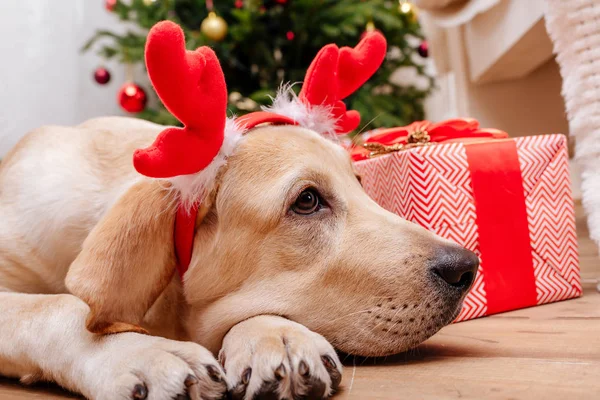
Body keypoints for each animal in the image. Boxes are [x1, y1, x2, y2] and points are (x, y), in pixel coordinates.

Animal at [0, 21, 478, 400]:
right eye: (307, 201)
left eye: (361, 186)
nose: (467, 266)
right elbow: (56, 308)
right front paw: (144, 350)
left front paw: (277, 335)